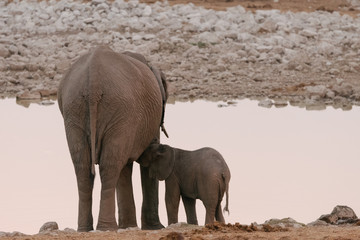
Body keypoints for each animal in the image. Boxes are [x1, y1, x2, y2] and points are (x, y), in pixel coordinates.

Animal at [57, 46, 167, 232]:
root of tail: (93, 78)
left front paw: (130, 226)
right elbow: (148, 158)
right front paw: (155, 228)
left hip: (75, 110)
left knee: (84, 167)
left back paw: (86, 229)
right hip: (119, 110)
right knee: (110, 166)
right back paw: (107, 228)